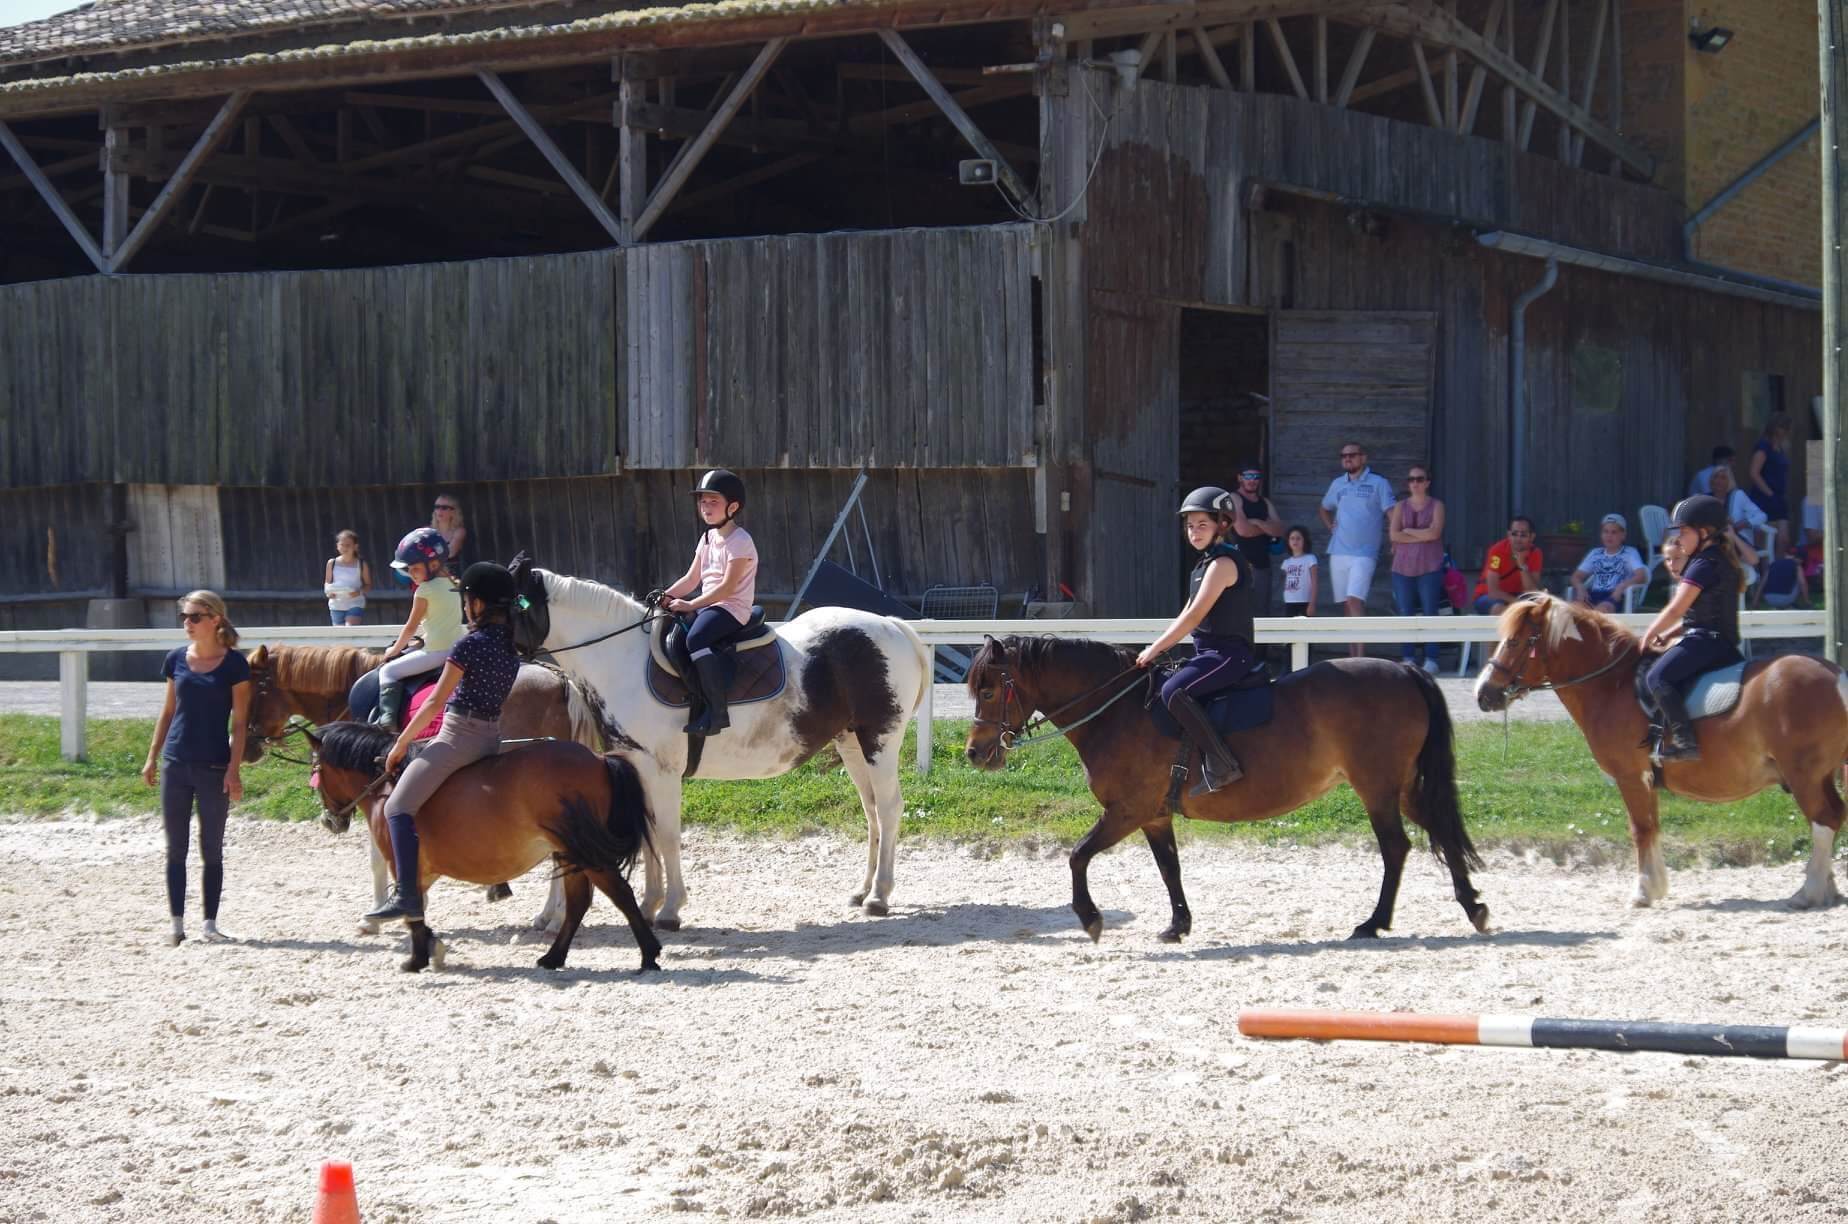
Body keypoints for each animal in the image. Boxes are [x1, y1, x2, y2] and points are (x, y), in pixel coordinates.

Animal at [245, 643, 609, 930]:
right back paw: (551, 914)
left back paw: (554, 917)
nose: (247, 746)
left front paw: (377, 915)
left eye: (254, 691)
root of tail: (560, 681)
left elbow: (378, 856)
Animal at [304, 722, 662, 973]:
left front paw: (417, 958)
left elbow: (411, 910)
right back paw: (553, 957)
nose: (330, 821)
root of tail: (598, 758)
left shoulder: (402, 864)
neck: (388, 785)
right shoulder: (419, 871)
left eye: (315, 770)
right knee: (578, 903)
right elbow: (417, 908)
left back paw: (649, 955)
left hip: (583, 850)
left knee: (620, 894)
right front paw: (432, 947)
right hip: (569, 852)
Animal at [506, 557, 932, 929]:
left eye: (504, 604)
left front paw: (670, 909)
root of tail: (892, 625)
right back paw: (863, 891)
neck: (622, 660)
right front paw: (647, 905)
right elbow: (648, 837)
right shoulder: (635, 769)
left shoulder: (661, 773)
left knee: (889, 809)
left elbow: (667, 836)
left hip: (879, 742)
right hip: (852, 744)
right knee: (872, 812)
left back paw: (879, 896)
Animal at [963, 635, 1490, 943]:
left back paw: (1374, 922)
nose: (974, 753)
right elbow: (1169, 869)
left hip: (1377, 787)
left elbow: (1077, 855)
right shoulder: (1153, 815)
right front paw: (1178, 925)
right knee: (1440, 829)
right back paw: (1472, 907)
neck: (1118, 712)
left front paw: (1090, 918)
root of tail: (1403, 670)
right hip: (1400, 787)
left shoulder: (1126, 811)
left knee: (1396, 847)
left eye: (988, 690)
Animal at [1473, 594, 1848, 909]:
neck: (1613, 685)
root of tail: (1835, 675)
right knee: (1832, 817)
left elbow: (1640, 829)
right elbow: (1652, 828)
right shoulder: (1646, 779)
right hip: (1819, 776)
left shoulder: (1631, 777)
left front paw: (1643, 891)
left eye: (1515, 641)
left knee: (1824, 819)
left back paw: (1809, 892)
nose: (1483, 694)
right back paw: (1826, 889)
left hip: (1804, 776)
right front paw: (1656, 886)